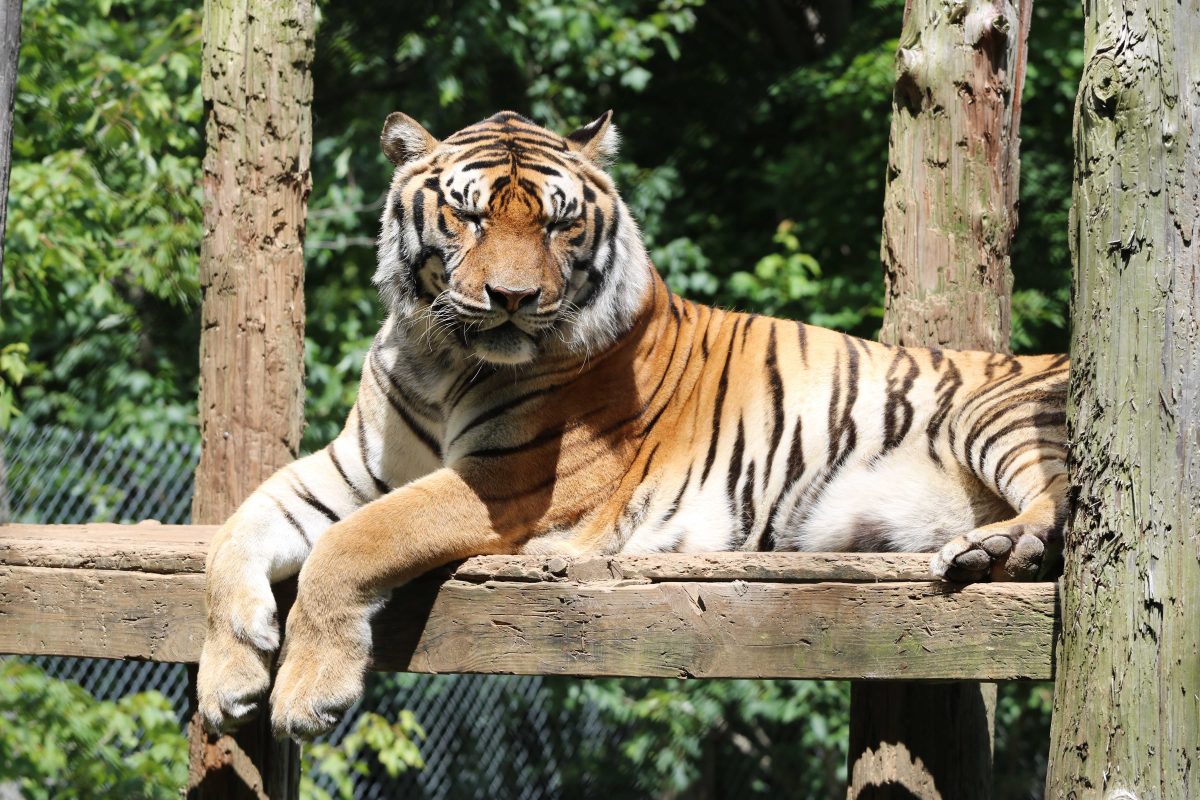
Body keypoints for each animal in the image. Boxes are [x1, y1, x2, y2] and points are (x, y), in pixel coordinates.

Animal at [198, 110, 1069, 741]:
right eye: (469, 217)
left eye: (558, 226)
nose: (512, 299)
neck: (438, 355)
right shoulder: (353, 466)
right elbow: (237, 531)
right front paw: (228, 677)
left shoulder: (506, 482)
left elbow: (356, 541)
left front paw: (306, 694)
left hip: (1002, 416)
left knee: (1066, 501)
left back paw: (997, 548)